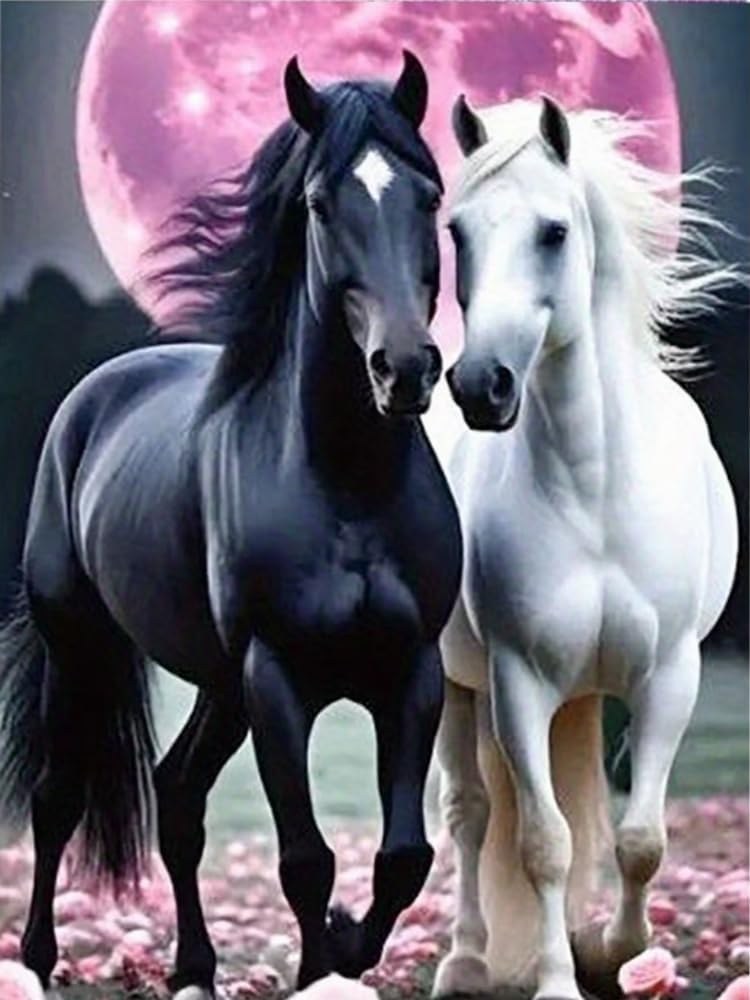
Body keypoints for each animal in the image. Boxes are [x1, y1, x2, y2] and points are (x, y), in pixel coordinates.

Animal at [0, 52, 462, 998]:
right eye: (320, 203)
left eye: (430, 195)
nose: (403, 369)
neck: (345, 485)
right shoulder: (276, 677)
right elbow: (305, 860)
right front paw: (324, 965)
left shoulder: (410, 673)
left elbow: (402, 857)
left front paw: (346, 945)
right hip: (84, 647)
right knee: (60, 799)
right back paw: (37, 960)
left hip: (218, 684)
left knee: (177, 797)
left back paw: (194, 970)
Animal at [428, 95, 739, 1000]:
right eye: (457, 230)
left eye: (554, 231)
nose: (481, 386)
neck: (595, 490)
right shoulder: (518, 684)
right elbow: (545, 842)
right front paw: (562, 978)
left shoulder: (670, 676)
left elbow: (640, 840)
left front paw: (614, 951)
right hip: (458, 687)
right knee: (470, 817)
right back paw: (467, 959)